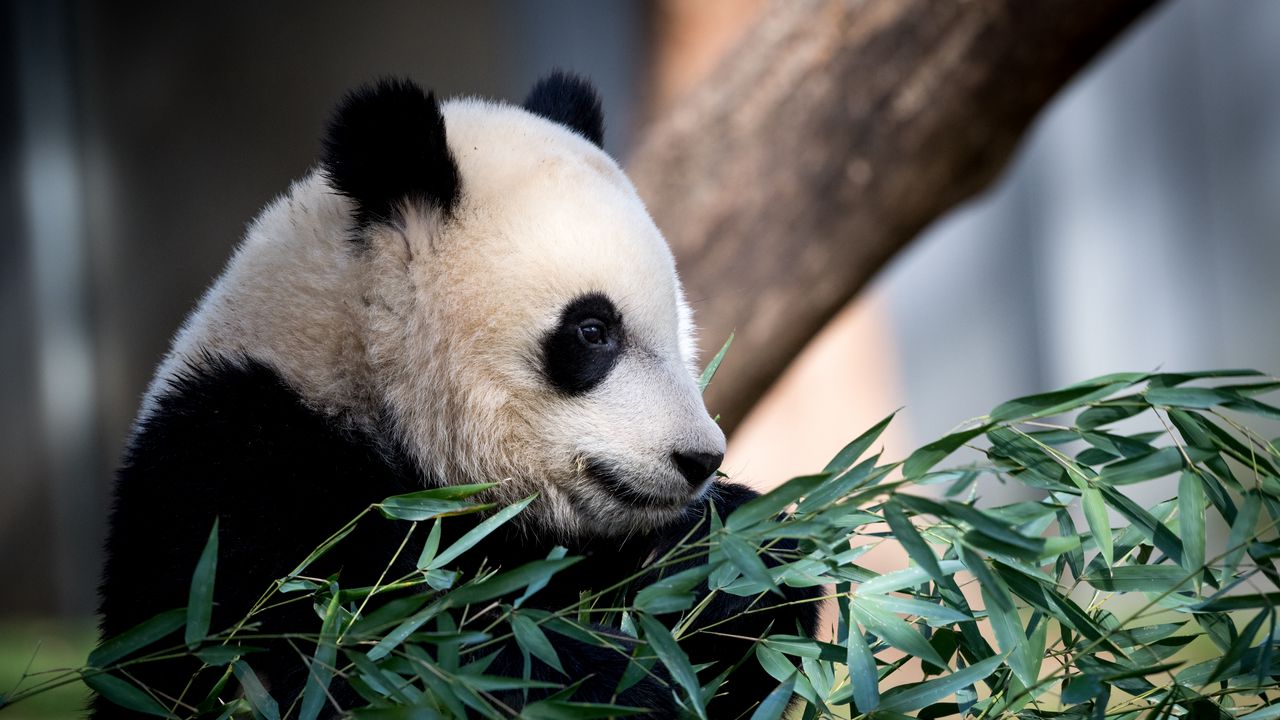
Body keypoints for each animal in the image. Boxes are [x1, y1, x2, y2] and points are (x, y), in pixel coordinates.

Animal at [97, 74, 819, 717]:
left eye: (679, 328)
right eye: (592, 330)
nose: (699, 460)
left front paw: (733, 565)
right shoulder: (235, 480)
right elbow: (342, 656)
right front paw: (612, 682)